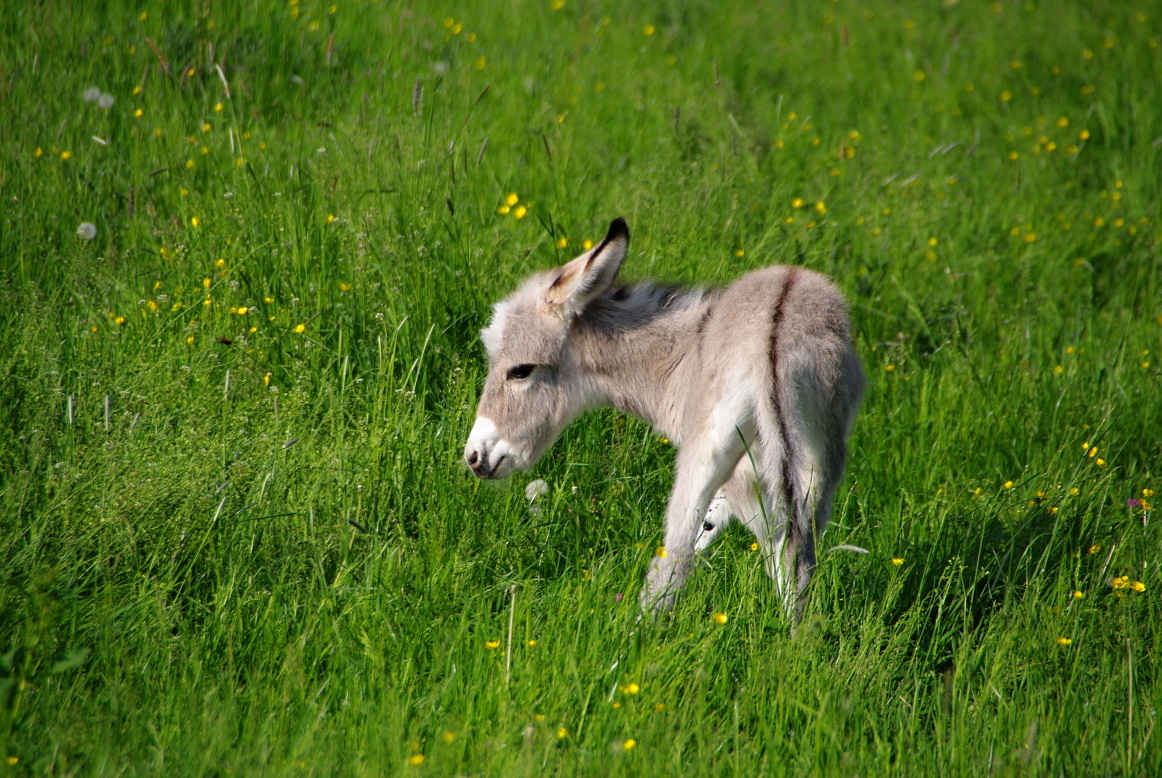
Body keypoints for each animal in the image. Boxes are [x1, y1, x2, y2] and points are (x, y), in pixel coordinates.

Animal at [464, 219, 864, 622]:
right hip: (815, 458)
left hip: (711, 454)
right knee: (800, 556)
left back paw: (637, 633)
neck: (682, 351)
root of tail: (773, 333)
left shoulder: (738, 479)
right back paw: (797, 636)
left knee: (678, 556)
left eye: (521, 370)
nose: (474, 457)